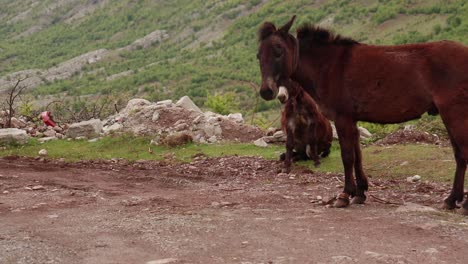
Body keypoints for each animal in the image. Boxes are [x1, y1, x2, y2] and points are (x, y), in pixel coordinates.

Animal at [258, 14, 468, 212]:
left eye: (279, 51)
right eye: (259, 55)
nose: (266, 92)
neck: (328, 66)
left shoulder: (342, 118)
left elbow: (347, 156)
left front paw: (344, 195)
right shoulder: (352, 119)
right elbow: (357, 155)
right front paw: (360, 193)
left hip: (454, 114)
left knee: (463, 153)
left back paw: (463, 205)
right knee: (459, 155)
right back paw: (451, 200)